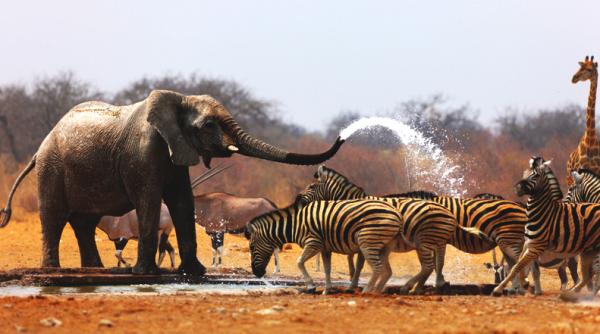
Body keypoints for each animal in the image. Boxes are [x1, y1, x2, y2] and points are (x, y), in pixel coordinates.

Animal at [0, 89, 344, 274]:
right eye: (208, 125)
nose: (342, 135)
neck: (180, 99)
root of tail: (39, 148)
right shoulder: (142, 152)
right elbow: (150, 201)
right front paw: (145, 273)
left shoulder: (176, 149)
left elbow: (181, 201)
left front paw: (194, 272)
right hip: (51, 168)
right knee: (55, 217)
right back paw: (52, 270)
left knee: (84, 223)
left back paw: (94, 270)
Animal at [244, 197, 404, 294]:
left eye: (252, 248)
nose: (256, 273)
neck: (296, 224)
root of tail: (396, 213)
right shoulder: (325, 248)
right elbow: (327, 269)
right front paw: (327, 290)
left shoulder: (313, 242)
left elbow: (299, 262)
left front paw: (311, 286)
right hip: (383, 245)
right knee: (386, 271)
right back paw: (377, 291)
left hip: (367, 242)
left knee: (378, 268)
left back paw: (367, 291)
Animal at [298, 166, 464, 294]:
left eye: (311, 186)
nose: (297, 199)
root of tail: (448, 212)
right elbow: (355, 261)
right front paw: (354, 282)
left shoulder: (363, 237)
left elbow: (359, 264)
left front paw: (353, 285)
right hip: (433, 241)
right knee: (436, 263)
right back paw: (430, 285)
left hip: (424, 241)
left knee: (431, 264)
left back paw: (412, 287)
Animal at [492, 155, 600, 296]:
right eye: (525, 173)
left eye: (536, 175)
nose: (517, 188)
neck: (544, 212)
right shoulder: (528, 244)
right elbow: (519, 265)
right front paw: (525, 283)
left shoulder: (536, 246)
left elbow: (518, 266)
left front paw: (500, 288)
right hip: (587, 251)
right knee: (587, 274)